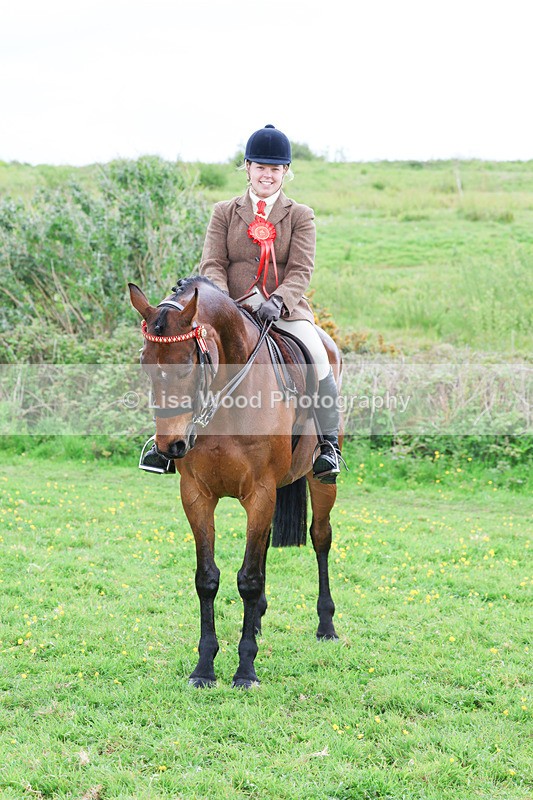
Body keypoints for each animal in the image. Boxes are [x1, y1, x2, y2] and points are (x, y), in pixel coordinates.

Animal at [129, 275, 343, 688]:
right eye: (146, 364)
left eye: (187, 365)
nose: (170, 445)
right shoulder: (196, 495)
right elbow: (208, 578)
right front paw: (204, 668)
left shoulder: (260, 494)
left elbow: (249, 579)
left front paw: (245, 670)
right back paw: (257, 621)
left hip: (321, 479)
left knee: (320, 538)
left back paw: (326, 626)